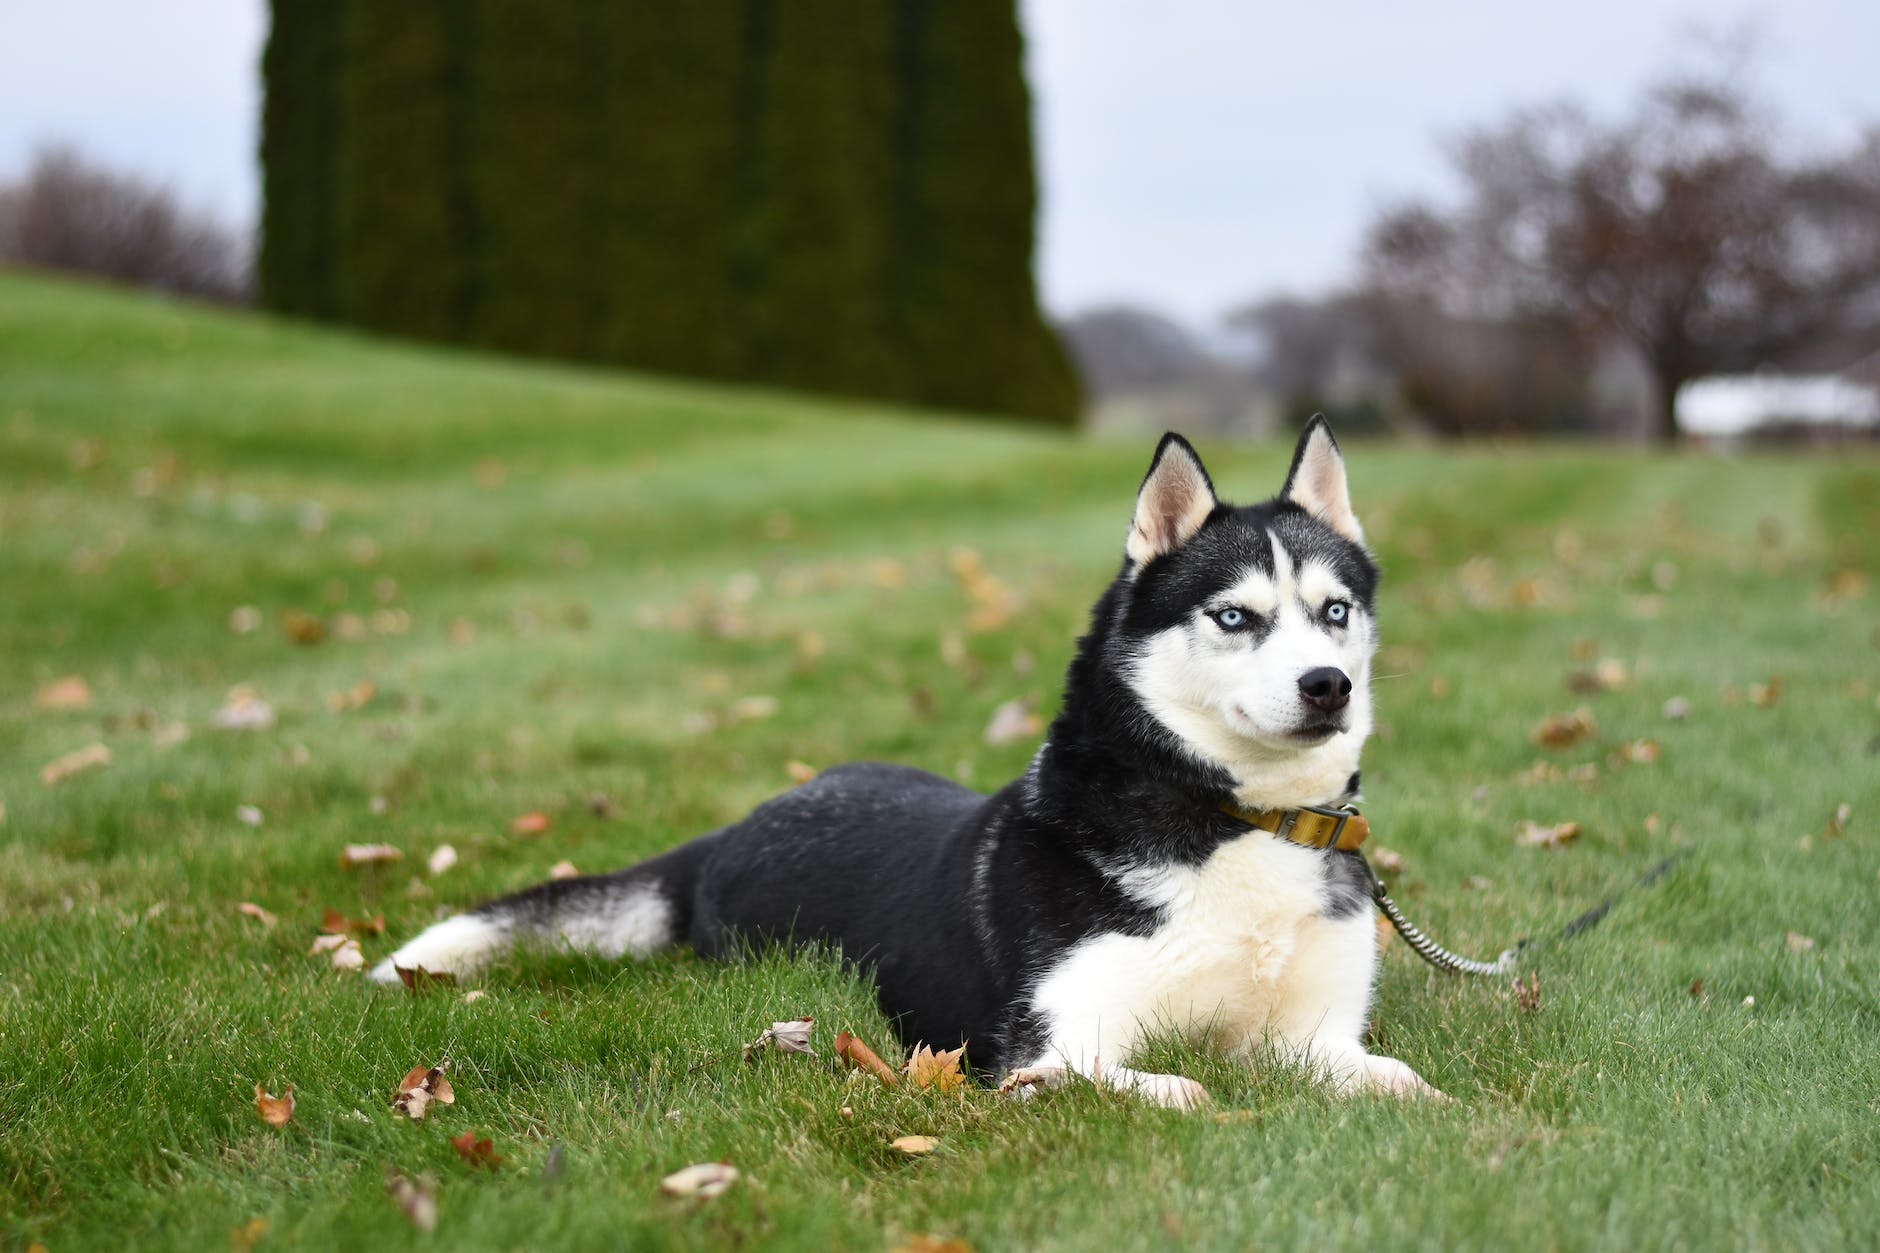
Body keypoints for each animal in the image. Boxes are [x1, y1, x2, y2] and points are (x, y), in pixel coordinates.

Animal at [377, 419, 1436, 1106]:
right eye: (1234, 616)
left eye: (1335, 610)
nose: (1329, 685)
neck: (1236, 819)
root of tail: (741, 822)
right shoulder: (1049, 1045)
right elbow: (1180, 1087)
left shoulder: (1311, 1035)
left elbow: (1396, 1078)